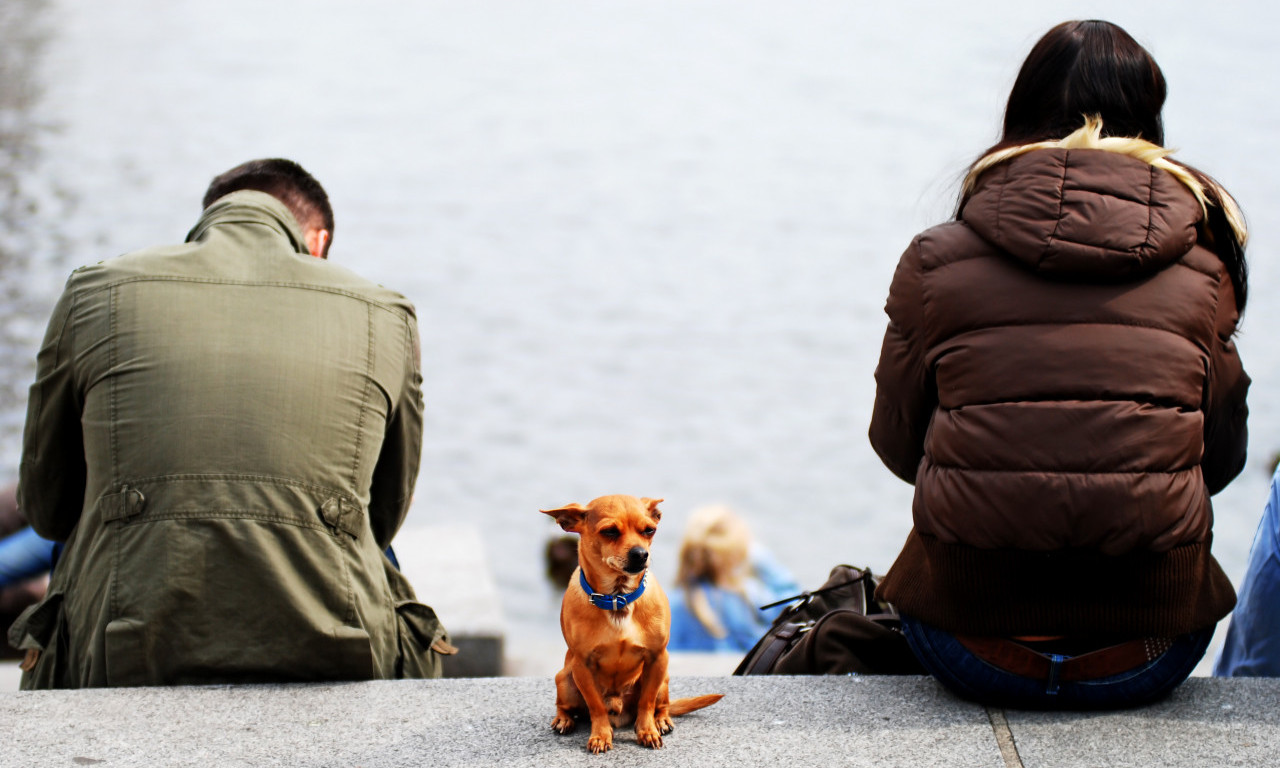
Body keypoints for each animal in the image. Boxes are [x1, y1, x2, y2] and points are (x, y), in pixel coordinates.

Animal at [537, 494, 721, 752]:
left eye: (649, 530)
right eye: (609, 531)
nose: (641, 554)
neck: (618, 597)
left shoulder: (657, 659)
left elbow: (646, 702)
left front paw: (647, 731)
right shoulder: (582, 666)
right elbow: (596, 707)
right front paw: (601, 735)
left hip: (663, 679)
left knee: (661, 704)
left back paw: (661, 720)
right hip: (565, 679)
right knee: (567, 706)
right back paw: (563, 720)